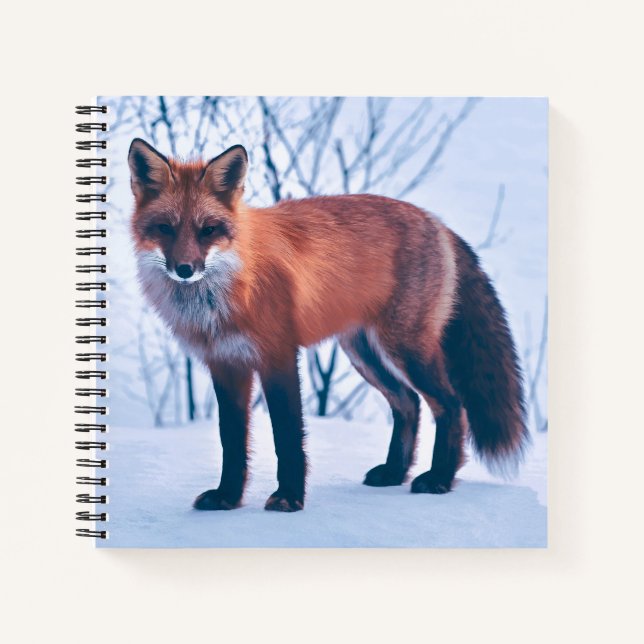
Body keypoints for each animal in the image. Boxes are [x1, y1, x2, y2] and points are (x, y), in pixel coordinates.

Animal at [128, 137, 529, 513]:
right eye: (165, 228)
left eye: (208, 230)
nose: (185, 269)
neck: (225, 292)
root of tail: (436, 221)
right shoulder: (225, 364)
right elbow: (232, 441)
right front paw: (227, 497)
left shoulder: (278, 356)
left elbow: (287, 437)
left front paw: (289, 498)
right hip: (364, 353)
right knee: (409, 403)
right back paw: (394, 472)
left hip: (405, 349)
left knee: (451, 404)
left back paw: (440, 479)